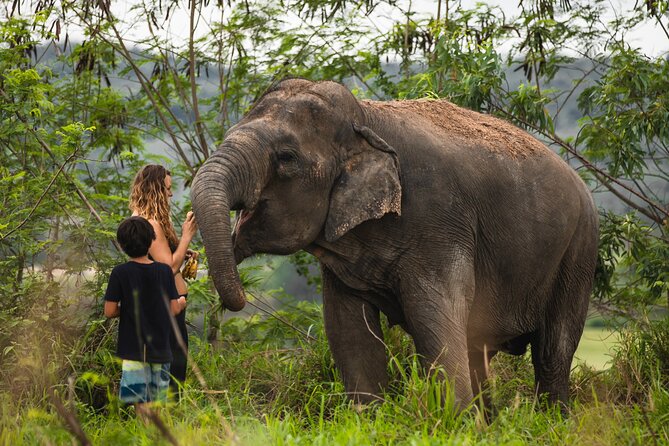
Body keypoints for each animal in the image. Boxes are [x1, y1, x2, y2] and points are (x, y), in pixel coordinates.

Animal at [189, 79, 600, 408]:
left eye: (286, 158)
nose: (240, 299)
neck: (366, 118)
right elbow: (348, 329)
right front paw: (367, 419)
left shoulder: (441, 223)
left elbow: (434, 318)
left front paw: (453, 424)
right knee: (478, 348)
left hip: (579, 250)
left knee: (552, 351)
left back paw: (550, 421)